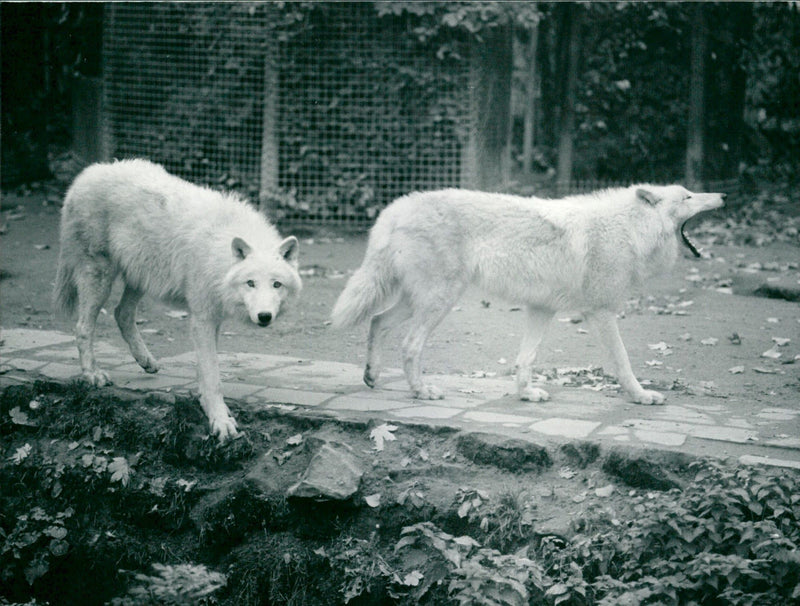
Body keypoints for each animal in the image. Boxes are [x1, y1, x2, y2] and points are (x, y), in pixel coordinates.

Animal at [54, 159, 302, 441]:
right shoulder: (202, 318)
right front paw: (220, 421)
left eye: (276, 284)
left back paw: (146, 361)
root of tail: (84, 175)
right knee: (83, 327)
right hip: (100, 277)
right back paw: (93, 374)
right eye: (250, 283)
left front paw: (206, 404)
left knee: (122, 314)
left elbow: (204, 370)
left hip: (140, 278)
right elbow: (213, 375)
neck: (220, 255)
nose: (264, 316)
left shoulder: (211, 320)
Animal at [331, 185, 724, 405]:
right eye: (688, 196)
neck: (628, 229)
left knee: (377, 321)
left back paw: (372, 376)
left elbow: (525, 359)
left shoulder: (541, 309)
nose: (723, 195)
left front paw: (525, 394)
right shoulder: (600, 313)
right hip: (439, 300)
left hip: (418, 300)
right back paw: (421, 391)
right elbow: (623, 363)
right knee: (409, 344)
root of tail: (395, 208)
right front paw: (641, 397)